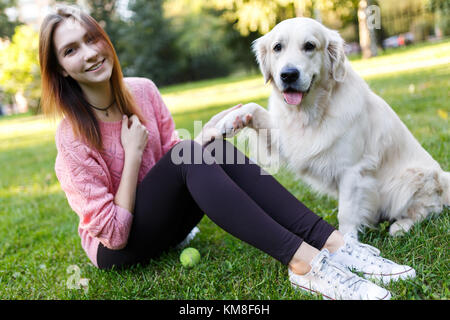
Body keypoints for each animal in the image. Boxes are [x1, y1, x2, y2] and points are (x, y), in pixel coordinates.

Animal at [216, 17, 448, 238]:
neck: (310, 112)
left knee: (428, 210)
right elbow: (253, 108)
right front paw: (229, 120)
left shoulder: (352, 170)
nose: (289, 74)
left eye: (309, 46)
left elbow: (346, 213)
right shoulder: (286, 140)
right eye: (277, 47)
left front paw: (348, 242)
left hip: (411, 178)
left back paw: (401, 226)